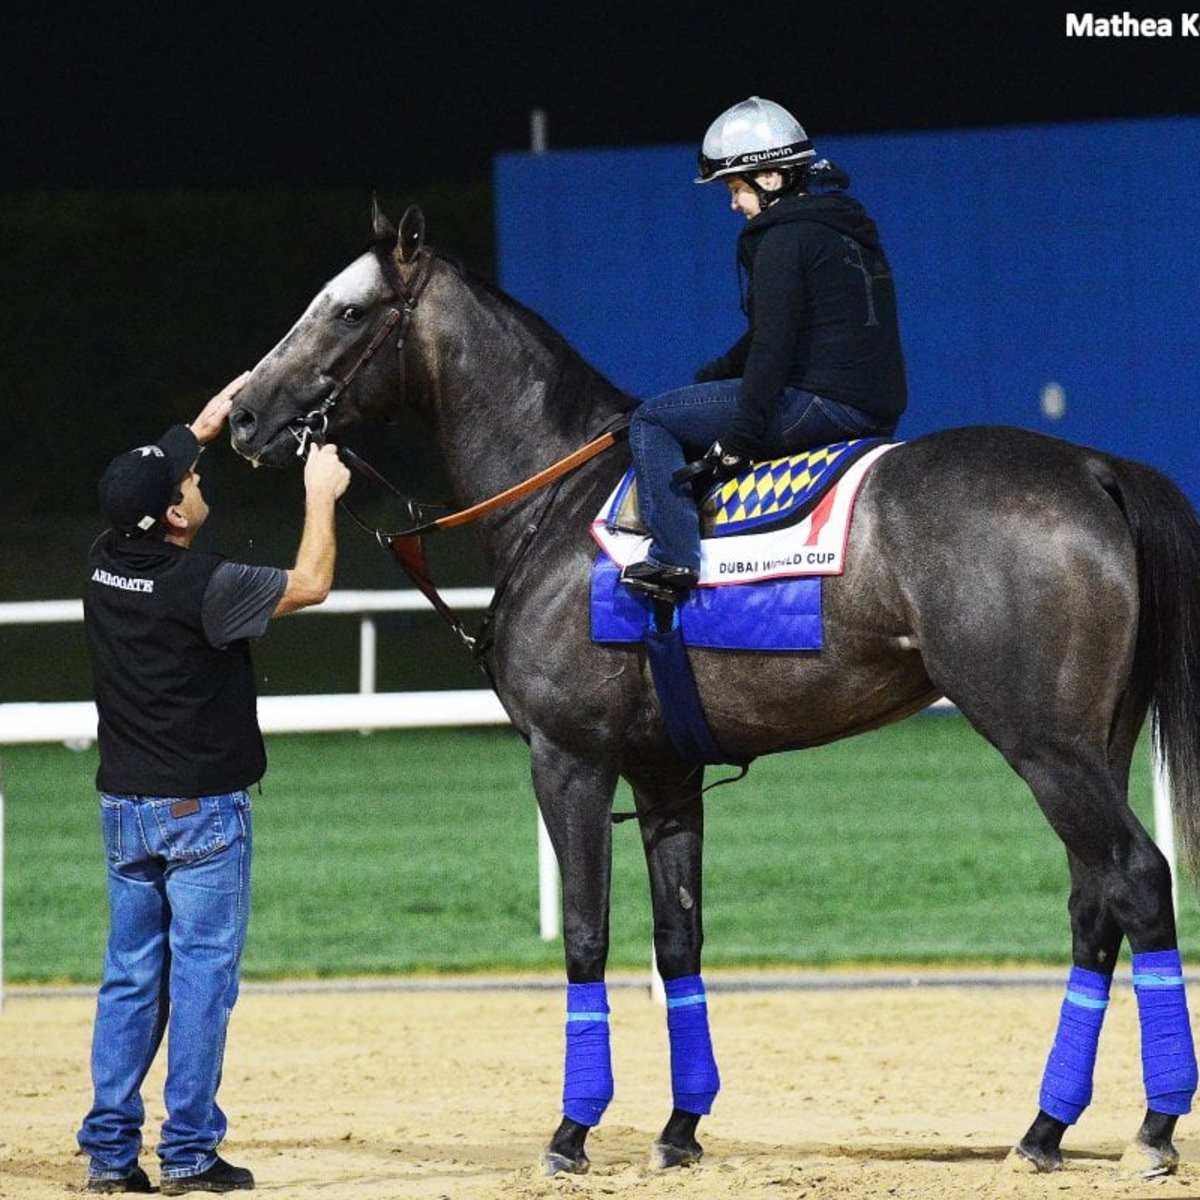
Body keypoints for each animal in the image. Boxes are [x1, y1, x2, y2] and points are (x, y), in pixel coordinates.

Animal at [228, 201, 1200, 1178]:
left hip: (1044, 747)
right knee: (1095, 905)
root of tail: (1092, 468)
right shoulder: (666, 775)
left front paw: (572, 1131)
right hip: (1093, 745)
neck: (562, 500)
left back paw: (1154, 1127)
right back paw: (1043, 1129)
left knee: (1138, 880)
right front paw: (679, 1127)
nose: (241, 415)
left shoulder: (569, 762)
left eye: (348, 311)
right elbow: (677, 937)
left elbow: (586, 934)